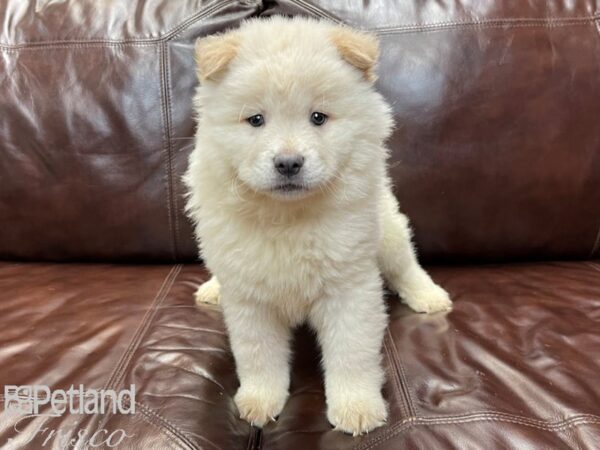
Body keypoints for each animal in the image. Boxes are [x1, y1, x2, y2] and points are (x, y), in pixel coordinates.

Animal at [183, 15, 450, 434]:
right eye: (255, 120)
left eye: (318, 117)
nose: (288, 163)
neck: (288, 217)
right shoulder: (250, 298)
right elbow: (259, 356)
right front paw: (259, 401)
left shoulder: (349, 288)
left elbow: (351, 353)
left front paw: (357, 408)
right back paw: (212, 288)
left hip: (388, 232)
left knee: (406, 267)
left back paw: (429, 296)